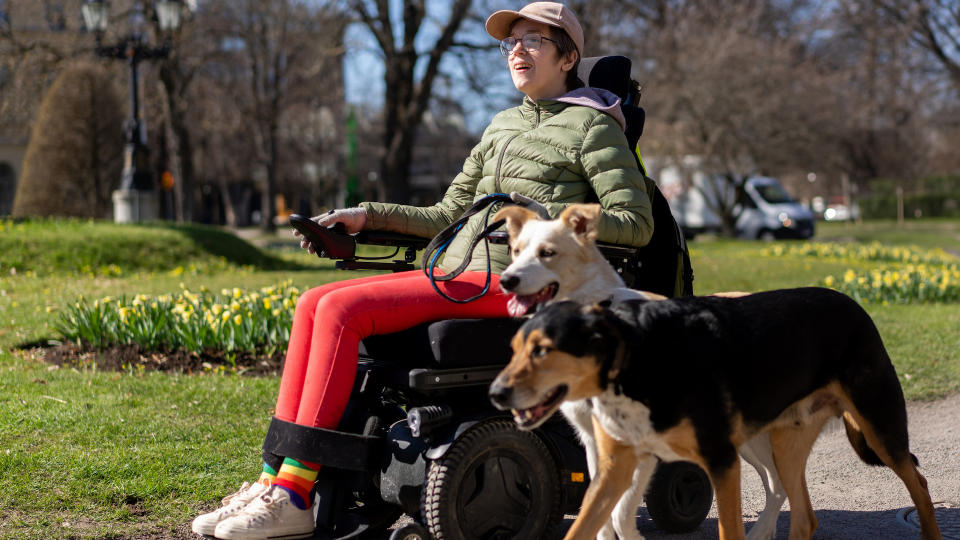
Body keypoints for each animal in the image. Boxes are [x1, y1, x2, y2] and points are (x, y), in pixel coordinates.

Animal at [492, 294, 940, 540]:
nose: (496, 393)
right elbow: (583, 526)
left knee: (918, 481)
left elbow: (729, 530)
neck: (636, 359)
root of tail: (854, 304)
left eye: (543, 350)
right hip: (786, 444)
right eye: (512, 349)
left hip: (880, 426)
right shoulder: (615, 468)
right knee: (804, 519)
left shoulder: (722, 463)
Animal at [496, 204, 788, 540]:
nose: (506, 280)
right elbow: (601, 514)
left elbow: (620, 512)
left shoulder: (641, 449)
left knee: (778, 486)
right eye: (516, 251)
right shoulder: (597, 444)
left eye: (547, 253)